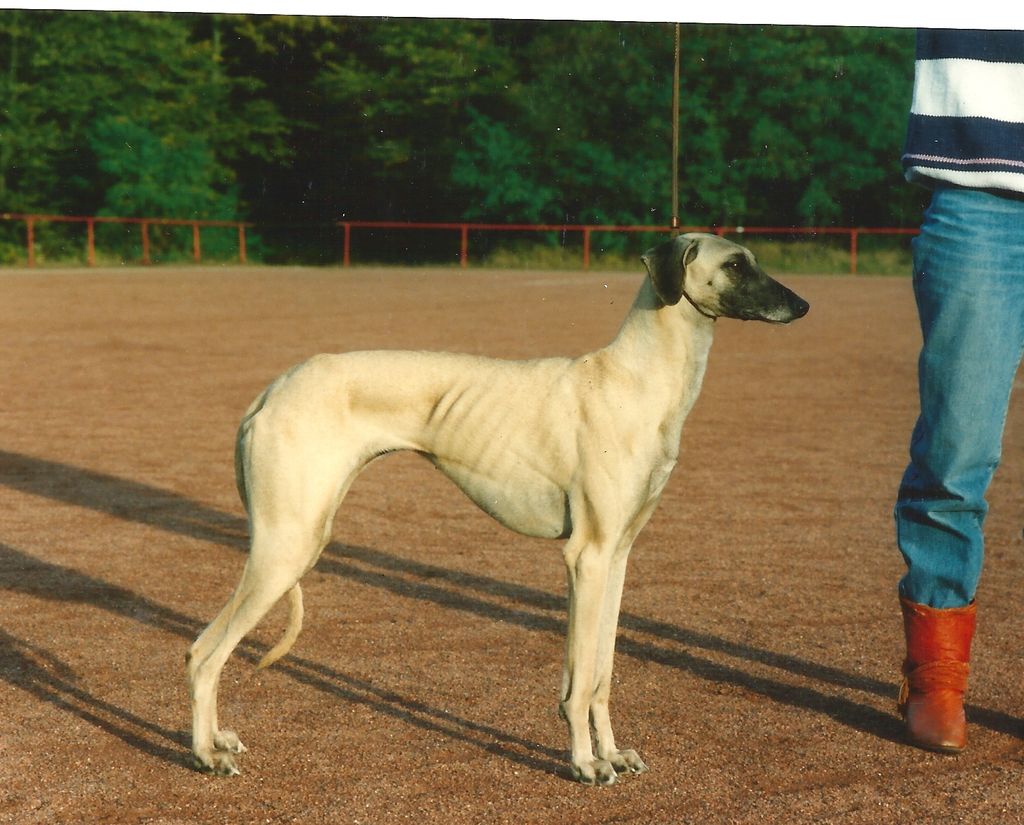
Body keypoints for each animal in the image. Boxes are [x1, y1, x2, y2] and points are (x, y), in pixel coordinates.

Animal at [184, 232, 806, 790]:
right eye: (735, 264)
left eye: (752, 258)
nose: (802, 306)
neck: (633, 381)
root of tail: (271, 390)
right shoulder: (586, 557)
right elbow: (580, 681)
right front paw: (584, 763)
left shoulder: (618, 556)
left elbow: (601, 674)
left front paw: (612, 753)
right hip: (287, 546)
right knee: (203, 655)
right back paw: (206, 755)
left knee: (201, 649)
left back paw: (216, 742)